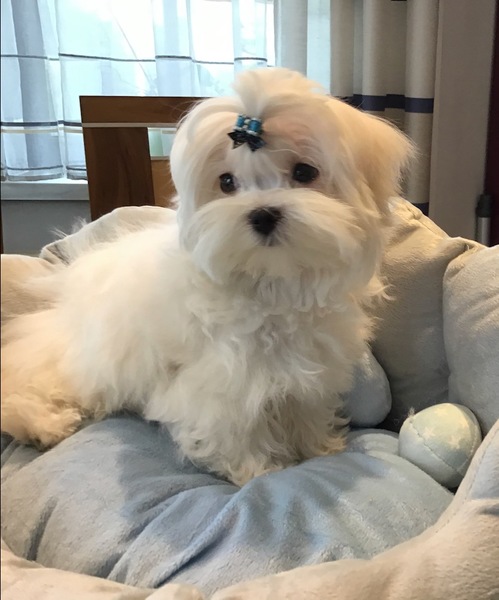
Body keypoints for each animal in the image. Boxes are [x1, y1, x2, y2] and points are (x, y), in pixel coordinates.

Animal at [1, 68, 412, 485]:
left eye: (304, 172)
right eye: (227, 182)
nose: (262, 214)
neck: (270, 285)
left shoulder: (307, 364)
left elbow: (303, 405)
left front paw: (317, 447)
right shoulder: (224, 378)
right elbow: (234, 423)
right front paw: (257, 468)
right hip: (76, 363)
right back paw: (44, 425)